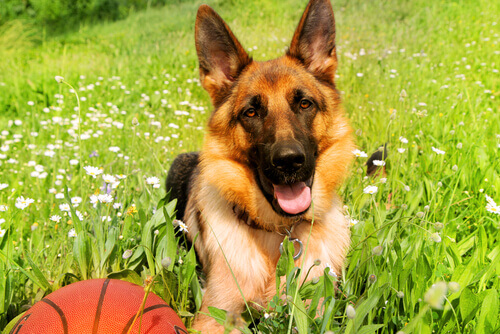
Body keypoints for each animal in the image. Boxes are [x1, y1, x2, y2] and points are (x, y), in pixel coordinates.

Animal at [166, 0, 354, 330]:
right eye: (251, 112)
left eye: (304, 104)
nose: (289, 161)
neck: (278, 232)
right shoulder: (215, 316)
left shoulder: (316, 311)